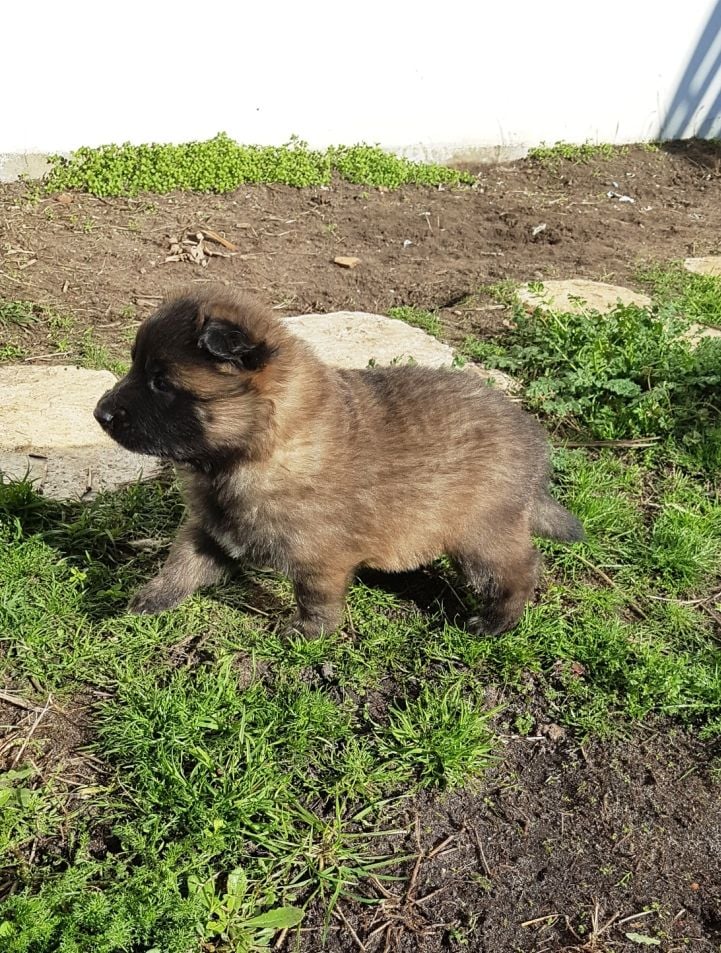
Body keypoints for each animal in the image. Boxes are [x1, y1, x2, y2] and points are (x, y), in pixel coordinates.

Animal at [93, 286, 584, 636]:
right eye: (137, 369)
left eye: (161, 382)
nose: (100, 413)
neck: (261, 448)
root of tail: (534, 444)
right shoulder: (209, 529)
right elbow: (181, 564)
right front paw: (151, 598)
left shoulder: (320, 554)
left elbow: (316, 595)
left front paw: (308, 632)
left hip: (480, 533)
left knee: (520, 568)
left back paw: (495, 623)